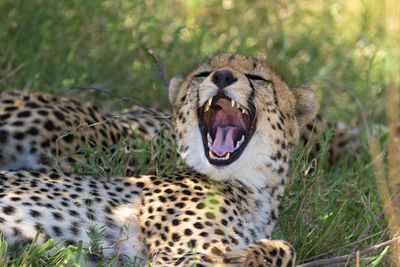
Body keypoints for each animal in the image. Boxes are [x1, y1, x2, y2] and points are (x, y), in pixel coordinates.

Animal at [0, 54, 320, 266]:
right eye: (204, 73)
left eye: (257, 78)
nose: (222, 77)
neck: (254, 191)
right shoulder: (176, 258)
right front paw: (245, 256)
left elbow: (288, 248)